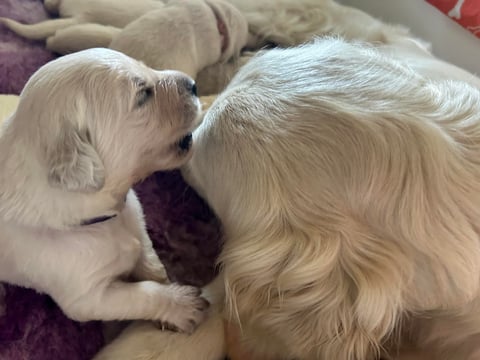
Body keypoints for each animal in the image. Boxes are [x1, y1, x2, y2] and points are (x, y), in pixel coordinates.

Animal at [0, 48, 210, 334]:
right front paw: (183, 305)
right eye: (143, 94)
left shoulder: (137, 223)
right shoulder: (86, 296)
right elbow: (142, 293)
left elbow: (151, 263)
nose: (194, 84)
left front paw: (168, 288)